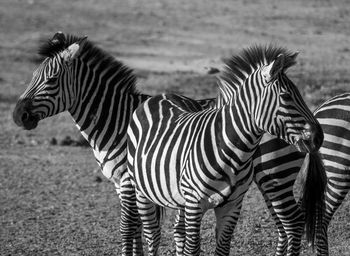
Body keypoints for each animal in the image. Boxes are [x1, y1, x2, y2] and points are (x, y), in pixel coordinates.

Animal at [126, 46, 326, 256]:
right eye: (287, 97)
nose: (319, 137)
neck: (233, 152)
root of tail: (160, 96)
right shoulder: (195, 204)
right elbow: (192, 248)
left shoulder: (232, 205)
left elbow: (222, 247)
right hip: (141, 190)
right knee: (152, 234)